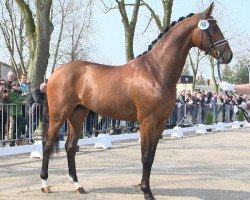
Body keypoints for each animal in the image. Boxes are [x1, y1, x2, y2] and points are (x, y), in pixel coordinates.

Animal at [40, 3, 232, 200]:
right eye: (213, 28)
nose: (228, 56)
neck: (156, 72)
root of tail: (54, 74)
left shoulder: (160, 123)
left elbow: (152, 156)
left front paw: (145, 187)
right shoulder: (147, 121)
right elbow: (145, 157)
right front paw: (146, 191)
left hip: (77, 114)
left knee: (70, 147)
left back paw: (78, 185)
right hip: (59, 116)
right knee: (47, 145)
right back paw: (45, 184)